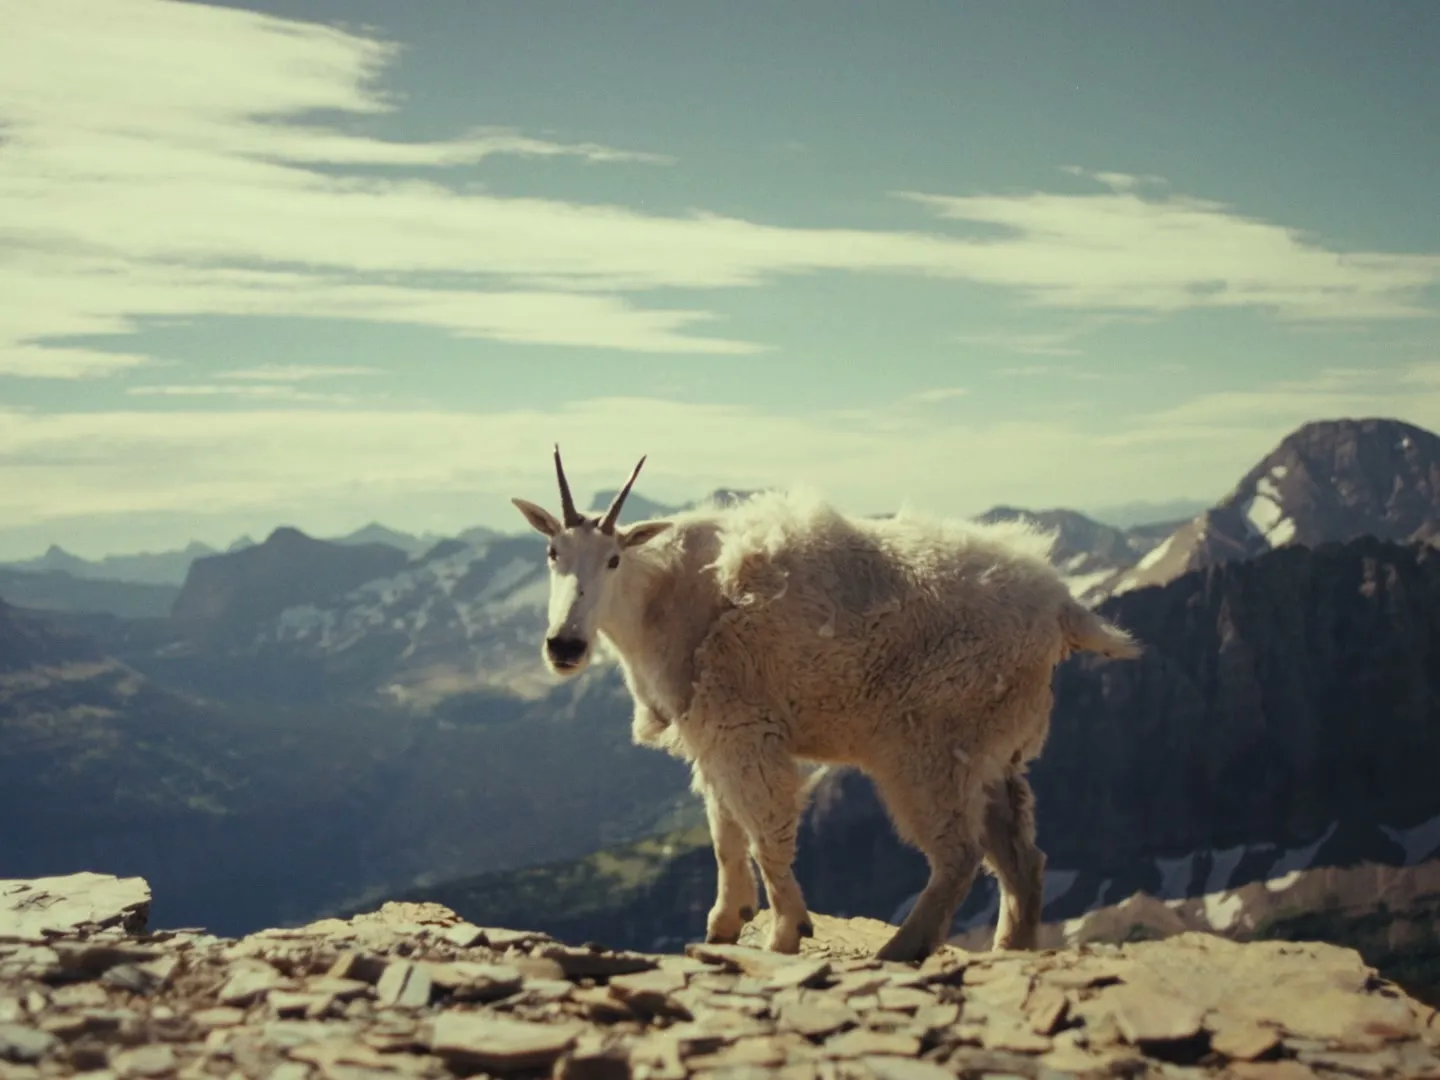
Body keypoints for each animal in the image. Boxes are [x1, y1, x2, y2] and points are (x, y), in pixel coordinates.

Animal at [511, 447, 1141, 962]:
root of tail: (1061, 607)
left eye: (613, 560)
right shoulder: (710, 736)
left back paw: (903, 947)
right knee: (1021, 855)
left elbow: (764, 831)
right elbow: (724, 833)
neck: (661, 601)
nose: (564, 646)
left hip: (927, 749)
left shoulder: (745, 729)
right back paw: (1012, 947)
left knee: (959, 854)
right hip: (991, 750)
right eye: (551, 552)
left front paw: (786, 930)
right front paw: (725, 922)